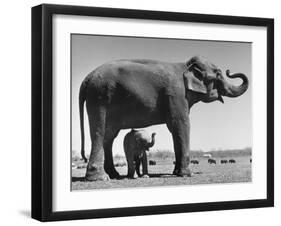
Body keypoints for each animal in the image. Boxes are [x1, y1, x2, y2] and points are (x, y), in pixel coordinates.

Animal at [79, 55, 247, 181]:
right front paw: (187, 174)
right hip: (99, 97)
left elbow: (174, 129)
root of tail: (88, 77)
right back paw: (100, 178)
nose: (229, 70)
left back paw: (114, 175)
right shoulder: (176, 95)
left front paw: (177, 173)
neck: (186, 66)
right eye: (218, 74)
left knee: (109, 136)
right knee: (99, 132)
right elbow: (182, 124)